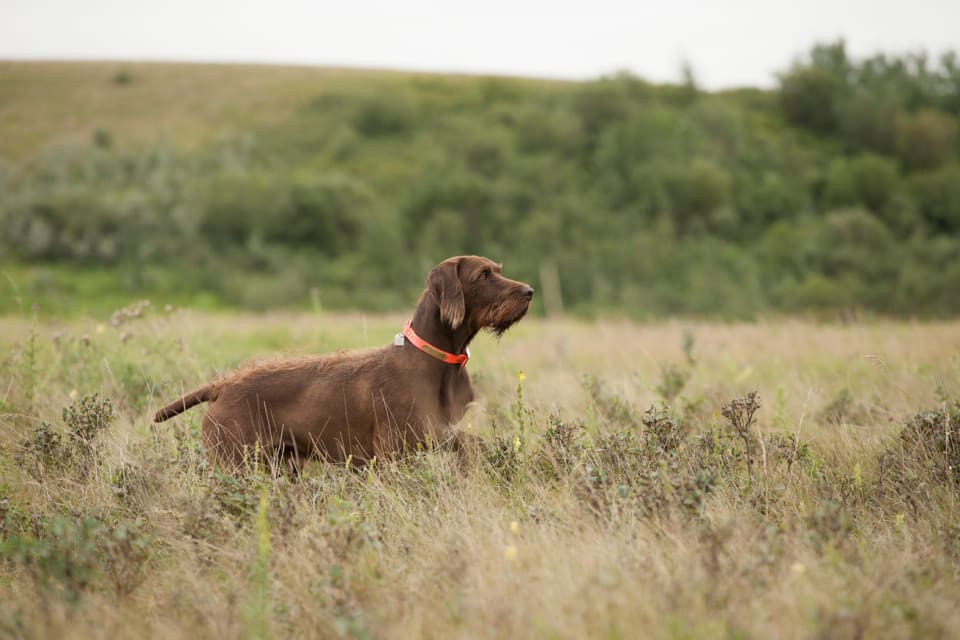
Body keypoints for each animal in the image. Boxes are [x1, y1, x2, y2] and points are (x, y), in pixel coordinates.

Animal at [154, 255, 536, 470]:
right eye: (483, 275)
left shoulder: (444, 435)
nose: (530, 291)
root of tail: (221, 385)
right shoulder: (396, 452)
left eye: (497, 270)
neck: (436, 359)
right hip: (237, 465)